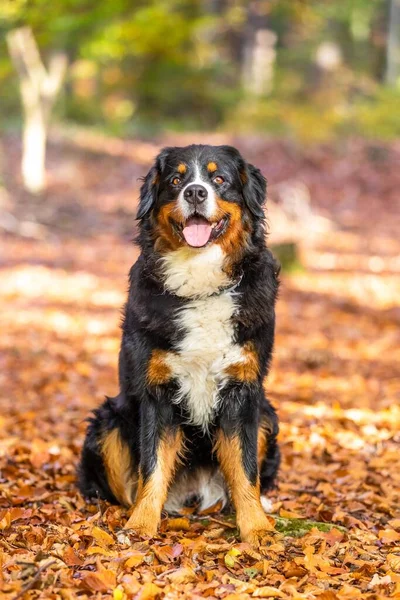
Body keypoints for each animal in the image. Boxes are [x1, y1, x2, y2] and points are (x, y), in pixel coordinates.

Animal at [77, 144, 278, 544]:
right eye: (175, 180)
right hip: (108, 422)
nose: (195, 192)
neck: (201, 284)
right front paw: (140, 525)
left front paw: (256, 528)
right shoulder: (157, 392)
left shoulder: (243, 393)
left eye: (219, 179)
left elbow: (246, 469)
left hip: (267, 416)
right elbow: (152, 467)